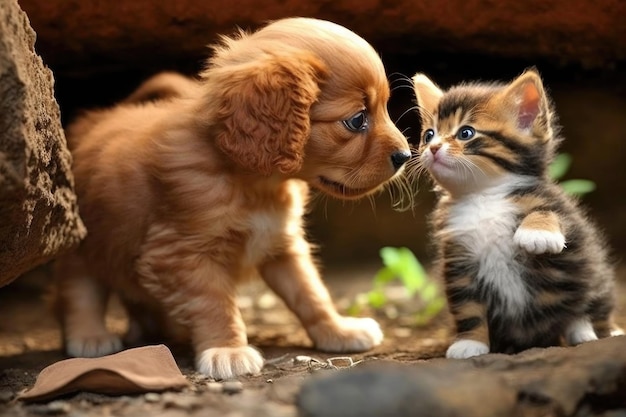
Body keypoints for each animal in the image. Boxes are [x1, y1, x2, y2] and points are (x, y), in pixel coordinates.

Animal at [54, 17, 410, 378]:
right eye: (357, 119)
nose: (405, 156)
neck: (257, 185)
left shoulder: (282, 245)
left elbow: (310, 293)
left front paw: (338, 330)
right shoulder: (182, 255)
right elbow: (215, 304)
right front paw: (227, 349)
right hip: (86, 245)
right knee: (80, 289)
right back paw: (90, 337)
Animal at [410, 68, 620, 358]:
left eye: (466, 133)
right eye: (429, 135)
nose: (432, 148)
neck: (483, 196)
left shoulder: (565, 212)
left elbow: (548, 211)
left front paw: (538, 233)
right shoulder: (460, 260)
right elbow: (469, 309)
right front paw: (469, 343)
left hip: (594, 273)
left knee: (590, 305)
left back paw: (588, 330)